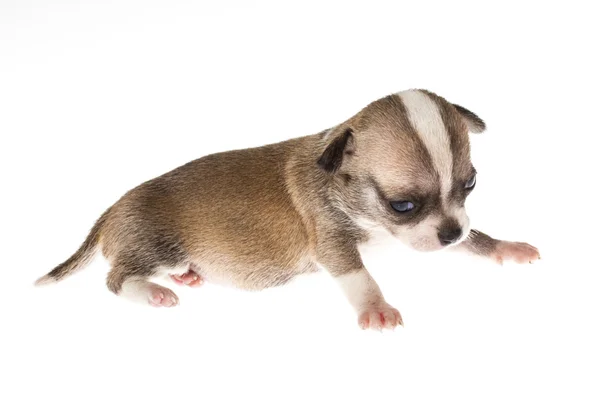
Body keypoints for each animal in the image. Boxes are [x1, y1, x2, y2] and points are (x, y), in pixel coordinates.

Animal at [36, 90, 540, 332]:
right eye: (403, 205)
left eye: (470, 184)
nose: (451, 232)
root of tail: (111, 209)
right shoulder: (333, 242)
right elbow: (360, 276)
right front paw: (375, 308)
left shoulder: (437, 232)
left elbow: (474, 240)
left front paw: (504, 247)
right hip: (154, 246)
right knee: (116, 277)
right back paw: (155, 293)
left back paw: (184, 278)